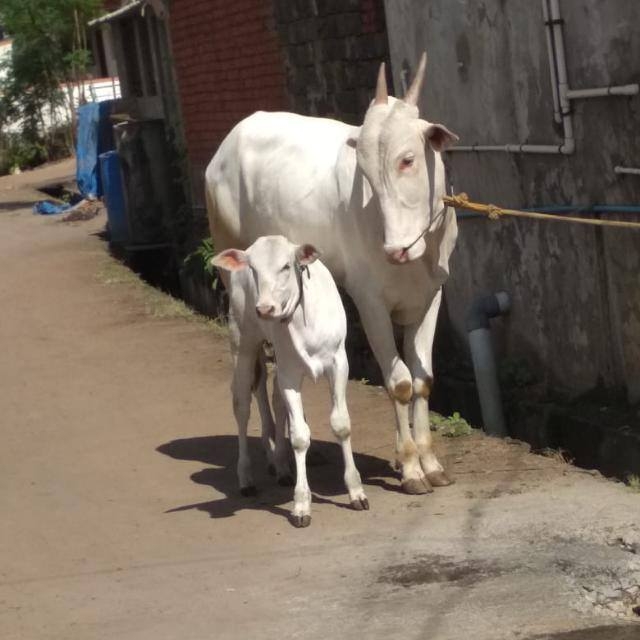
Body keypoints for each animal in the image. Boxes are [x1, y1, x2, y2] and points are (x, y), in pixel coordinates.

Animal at [206, 53, 459, 495]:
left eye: (408, 159)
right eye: (366, 174)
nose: (394, 249)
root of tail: (224, 149)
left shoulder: (430, 295)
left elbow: (423, 380)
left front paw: (429, 462)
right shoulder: (370, 301)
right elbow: (399, 382)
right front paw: (411, 468)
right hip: (239, 290)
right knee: (254, 376)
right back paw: (274, 459)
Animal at [212, 235, 369, 527]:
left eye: (286, 266)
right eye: (253, 269)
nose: (264, 308)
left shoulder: (339, 362)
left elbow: (341, 425)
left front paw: (356, 491)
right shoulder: (289, 374)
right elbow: (299, 436)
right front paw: (301, 505)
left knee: (273, 398)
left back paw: (282, 466)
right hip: (242, 342)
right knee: (242, 406)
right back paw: (247, 478)